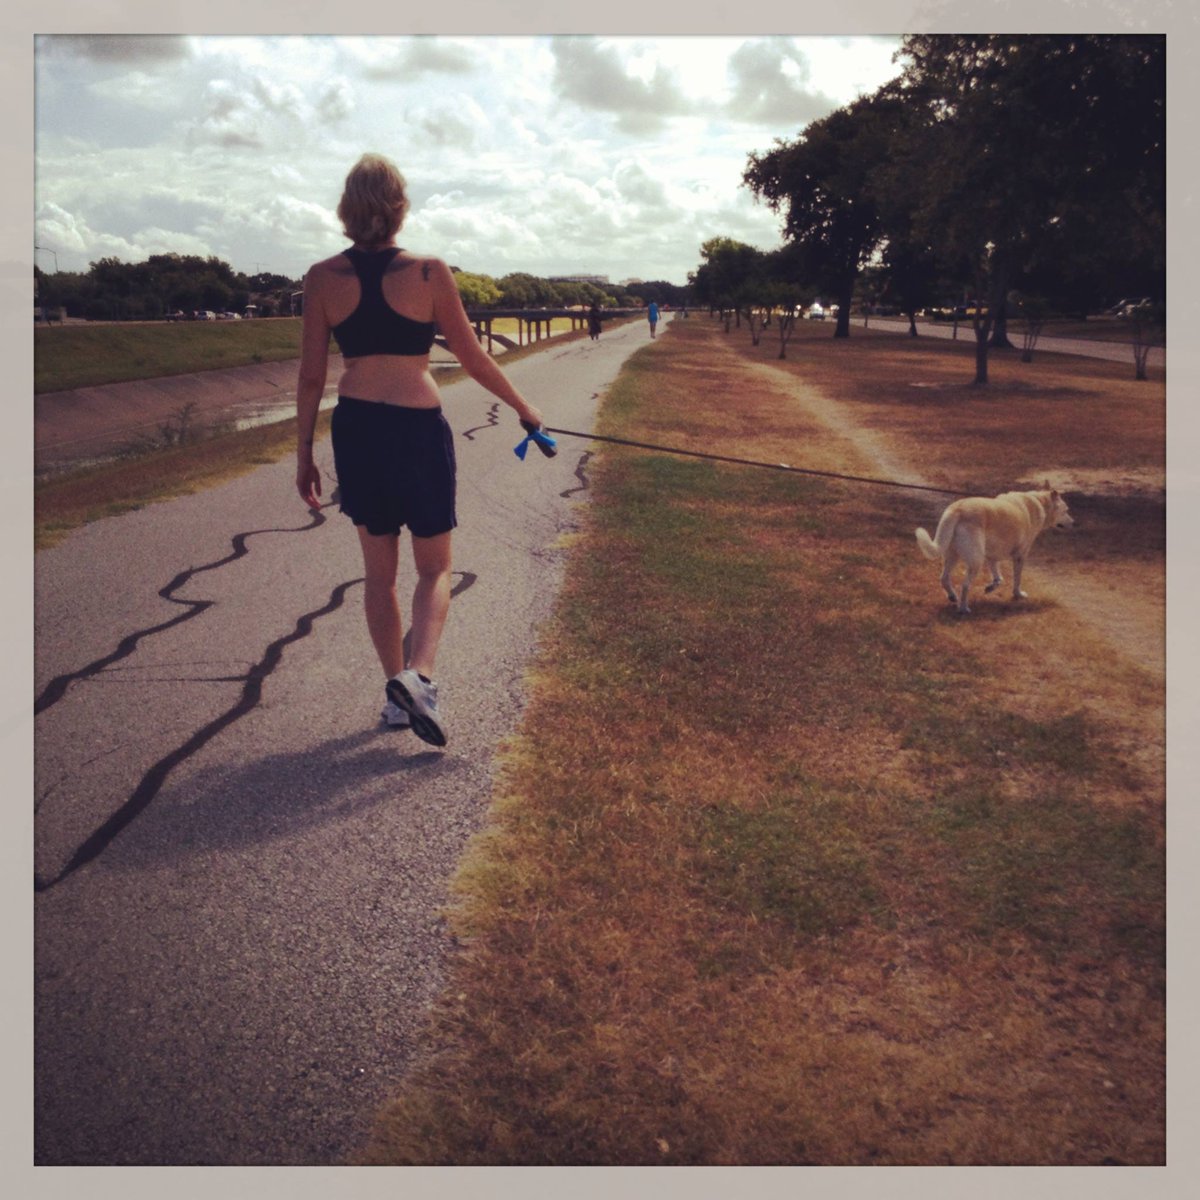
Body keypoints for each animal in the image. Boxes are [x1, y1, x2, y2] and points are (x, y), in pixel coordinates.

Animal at [912, 487, 1075, 619]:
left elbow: (999, 578)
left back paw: (953, 597)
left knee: (944, 578)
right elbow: (1017, 579)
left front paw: (991, 587)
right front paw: (1018, 595)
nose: (1074, 523)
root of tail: (957, 509)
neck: (1040, 502)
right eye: (1066, 510)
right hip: (975, 562)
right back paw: (963, 609)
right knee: (965, 585)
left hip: (953, 557)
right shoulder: (1020, 557)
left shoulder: (991, 557)